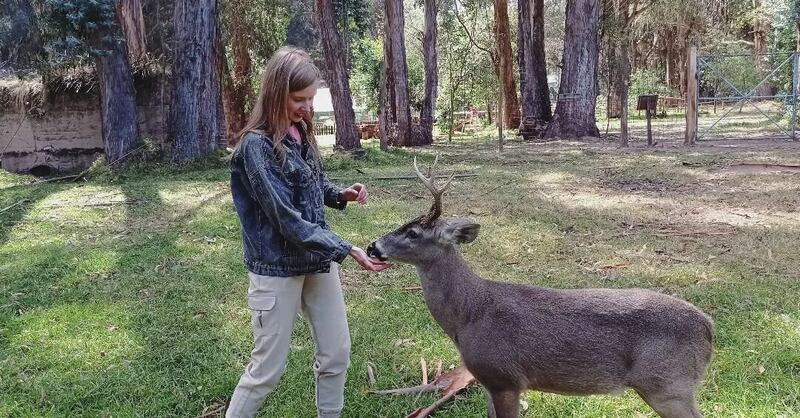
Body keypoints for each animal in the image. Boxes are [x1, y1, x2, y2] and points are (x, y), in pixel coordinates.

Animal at [366, 158, 716, 418]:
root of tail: (709, 326)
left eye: (412, 233)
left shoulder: (505, 377)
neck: (469, 315)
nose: (372, 247)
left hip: (668, 383)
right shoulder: (487, 382)